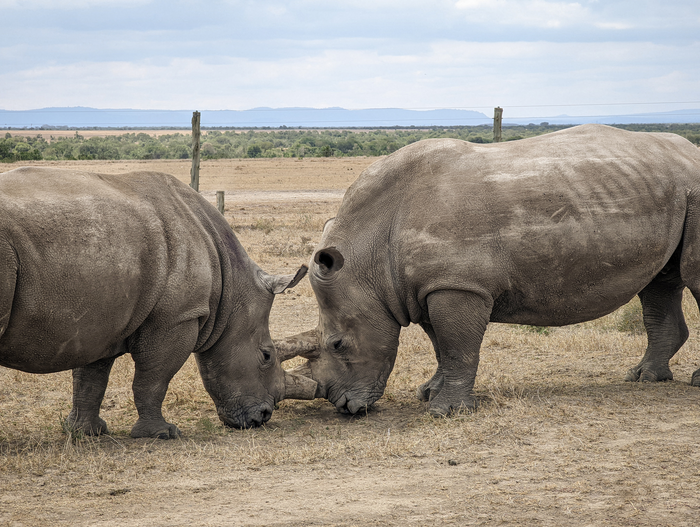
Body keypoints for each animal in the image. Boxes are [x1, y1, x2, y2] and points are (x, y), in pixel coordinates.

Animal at [0, 168, 314, 438]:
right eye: (266, 356)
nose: (263, 417)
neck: (232, 287)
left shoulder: (100, 320)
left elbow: (90, 378)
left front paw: (86, 432)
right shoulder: (176, 317)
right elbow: (153, 378)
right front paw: (162, 433)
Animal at [276, 126, 700, 418]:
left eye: (337, 344)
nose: (344, 406)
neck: (368, 255)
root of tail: (690, 152)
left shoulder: (458, 285)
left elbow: (457, 346)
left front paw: (444, 412)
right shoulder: (429, 286)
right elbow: (441, 345)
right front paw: (428, 394)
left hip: (693, 190)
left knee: (690, 278)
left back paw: (691, 383)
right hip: (666, 192)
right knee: (660, 283)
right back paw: (643, 377)